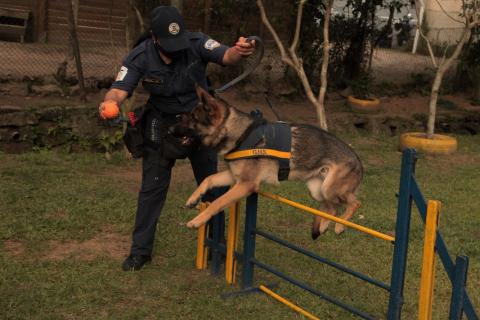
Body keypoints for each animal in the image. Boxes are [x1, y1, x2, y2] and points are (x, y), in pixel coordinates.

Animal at [182, 86, 362, 239]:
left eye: (193, 119)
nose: (173, 127)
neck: (241, 133)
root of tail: (359, 161)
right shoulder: (235, 178)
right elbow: (209, 179)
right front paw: (193, 199)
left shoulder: (246, 185)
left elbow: (217, 202)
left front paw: (197, 221)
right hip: (318, 191)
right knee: (333, 208)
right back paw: (324, 225)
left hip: (329, 189)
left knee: (354, 203)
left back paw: (340, 226)